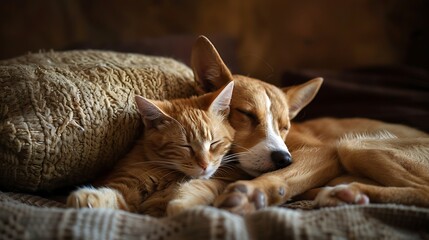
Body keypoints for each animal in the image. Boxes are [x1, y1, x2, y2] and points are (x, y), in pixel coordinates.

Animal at [66, 81, 234, 213]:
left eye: (214, 143)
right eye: (185, 146)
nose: (204, 165)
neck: (168, 174)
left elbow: (197, 188)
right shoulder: (126, 184)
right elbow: (115, 196)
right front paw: (86, 198)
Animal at [167, 36, 428, 216]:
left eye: (285, 126)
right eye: (247, 114)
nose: (283, 159)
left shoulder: (321, 152)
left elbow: (280, 177)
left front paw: (254, 194)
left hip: (355, 145)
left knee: (423, 190)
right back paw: (348, 194)